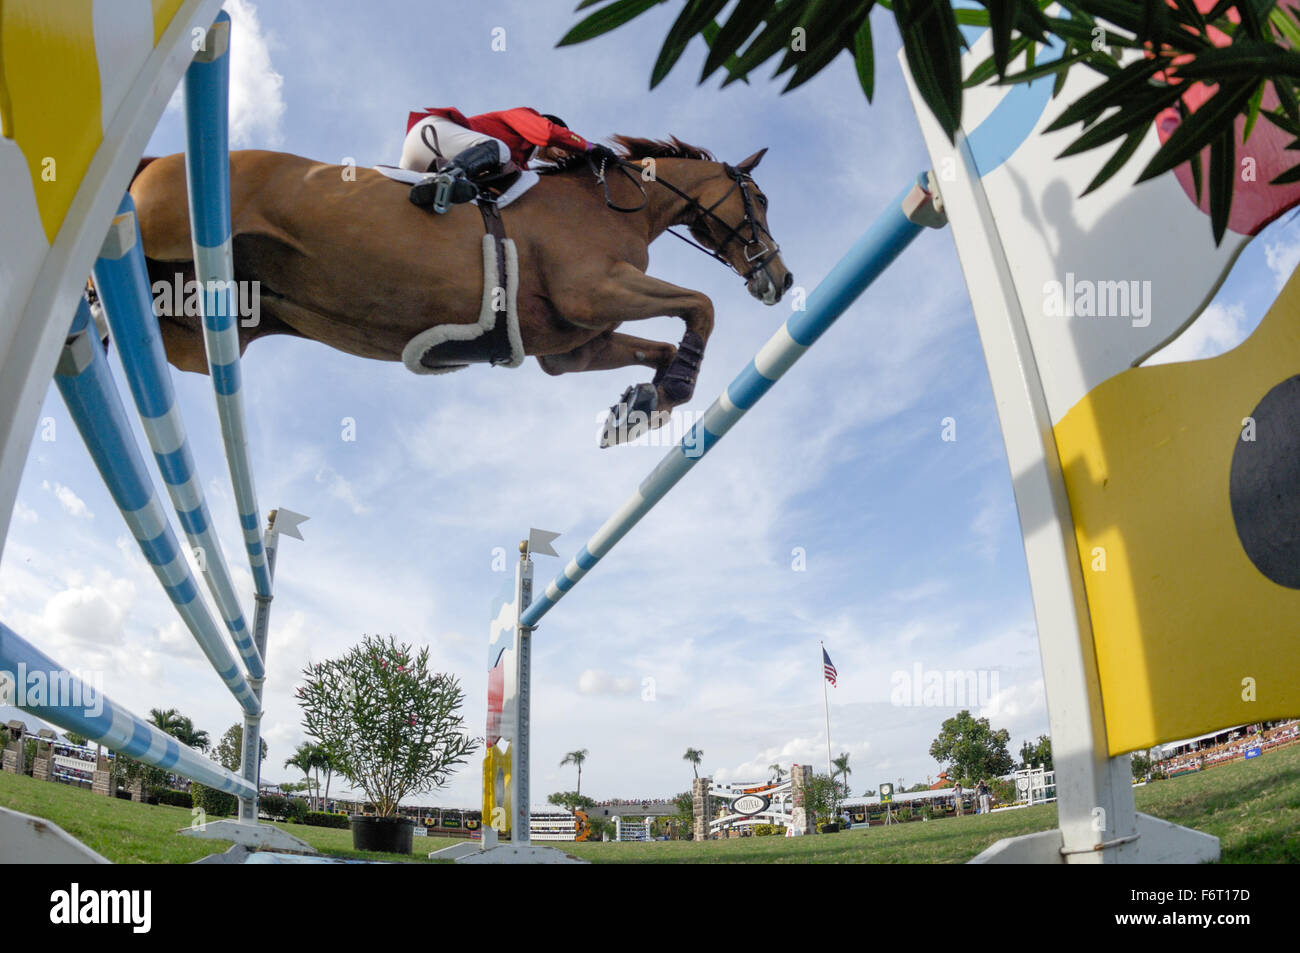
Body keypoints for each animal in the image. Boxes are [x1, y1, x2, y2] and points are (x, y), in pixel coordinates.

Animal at [126, 135, 790, 444]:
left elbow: (661, 343)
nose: (781, 279)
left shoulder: (573, 347)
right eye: (758, 199)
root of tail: (156, 159)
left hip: (199, 323)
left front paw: (642, 405)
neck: (616, 203)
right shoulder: (594, 290)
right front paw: (670, 390)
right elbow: (700, 306)